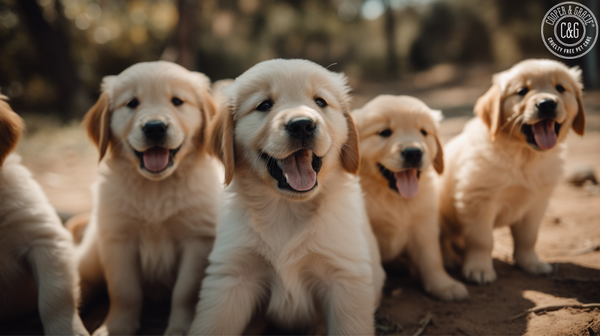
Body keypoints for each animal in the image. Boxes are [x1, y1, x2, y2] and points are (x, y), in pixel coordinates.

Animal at [76, 61, 221, 334]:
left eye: (177, 101)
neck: (156, 189)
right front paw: (116, 327)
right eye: (132, 103)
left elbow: (185, 291)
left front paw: (181, 328)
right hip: (90, 255)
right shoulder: (117, 239)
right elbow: (124, 291)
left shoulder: (198, 240)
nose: (155, 127)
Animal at [188, 59, 384, 334]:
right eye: (264, 105)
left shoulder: (344, 277)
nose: (302, 124)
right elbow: (212, 324)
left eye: (320, 102)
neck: (287, 208)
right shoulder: (233, 275)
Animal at [352, 95, 468, 302]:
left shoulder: (424, 224)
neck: (393, 198)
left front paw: (444, 285)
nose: (413, 153)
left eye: (423, 132)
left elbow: (432, 258)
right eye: (384, 132)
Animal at [438, 59, 584, 284]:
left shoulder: (536, 203)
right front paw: (479, 269)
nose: (547, 104)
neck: (523, 155)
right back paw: (450, 259)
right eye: (522, 91)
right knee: (442, 238)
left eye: (560, 88)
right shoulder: (478, 200)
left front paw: (531, 264)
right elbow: (481, 240)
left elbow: (528, 238)